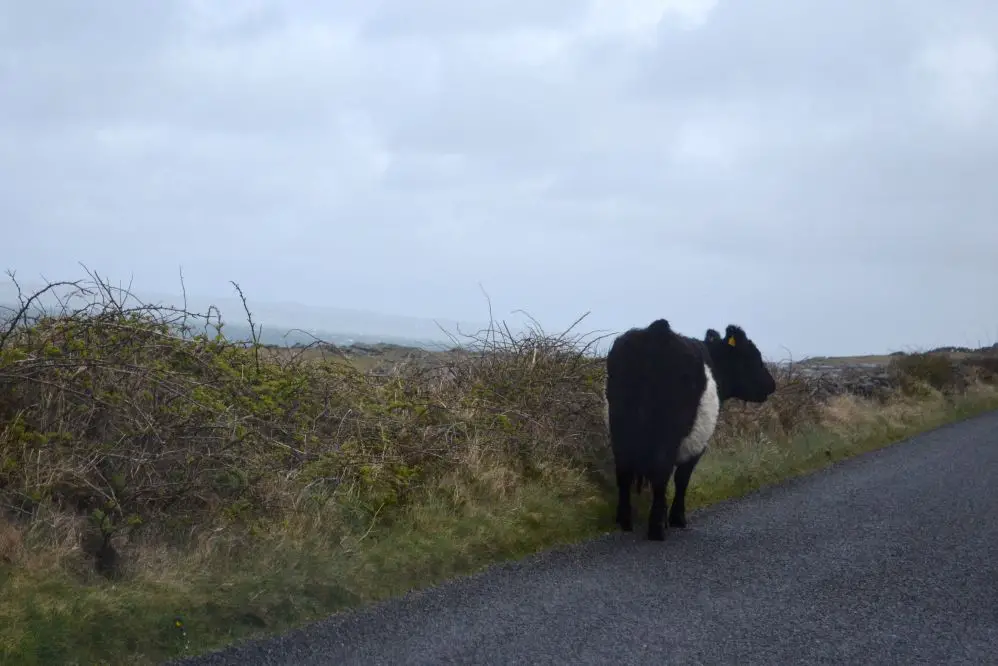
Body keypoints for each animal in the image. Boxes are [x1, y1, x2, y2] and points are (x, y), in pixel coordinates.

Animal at [604, 316, 776, 540]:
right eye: (753, 356)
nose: (772, 385)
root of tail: (657, 331)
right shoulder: (698, 443)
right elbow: (682, 478)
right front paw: (677, 518)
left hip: (621, 429)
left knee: (624, 472)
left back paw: (625, 521)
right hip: (667, 432)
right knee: (660, 473)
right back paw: (656, 528)